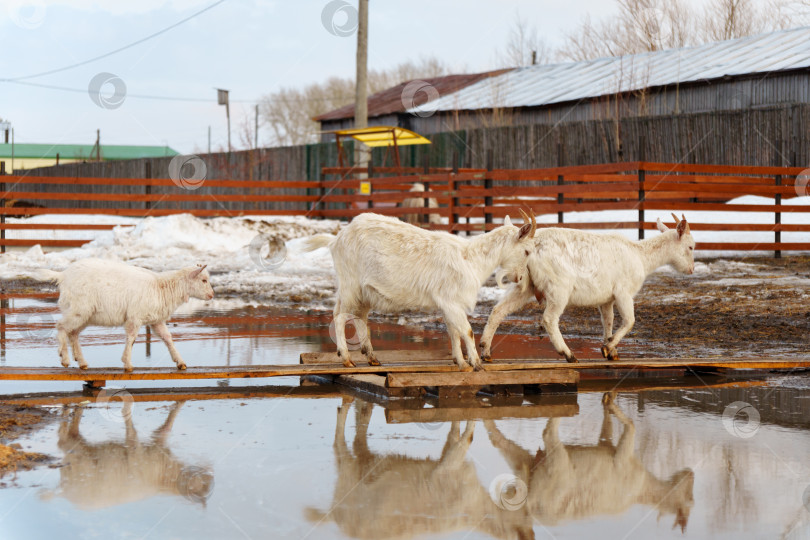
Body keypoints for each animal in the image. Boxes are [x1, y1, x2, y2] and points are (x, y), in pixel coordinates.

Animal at [36, 258, 213, 372]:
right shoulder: (135, 316)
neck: (161, 287)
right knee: (61, 327)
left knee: (73, 333)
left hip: (85, 315)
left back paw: (82, 362)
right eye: (204, 280)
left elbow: (167, 338)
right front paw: (127, 363)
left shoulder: (156, 320)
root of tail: (63, 275)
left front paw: (180, 362)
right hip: (79, 309)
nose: (212, 295)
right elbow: (132, 338)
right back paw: (65, 359)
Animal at [306, 209, 532, 370]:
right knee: (340, 316)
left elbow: (453, 331)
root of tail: (337, 239)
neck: (471, 257)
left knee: (358, 316)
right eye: (527, 251)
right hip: (350, 284)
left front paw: (460, 362)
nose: (520, 278)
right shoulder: (451, 300)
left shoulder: (450, 304)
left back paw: (372, 357)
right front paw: (475, 364)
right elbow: (466, 330)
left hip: (363, 290)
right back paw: (346, 358)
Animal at [480, 214, 696, 362]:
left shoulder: (606, 299)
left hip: (523, 284)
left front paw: (610, 350)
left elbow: (608, 321)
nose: (692, 269)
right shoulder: (623, 292)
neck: (641, 257)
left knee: (498, 310)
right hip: (559, 287)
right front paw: (609, 347)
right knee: (549, 319)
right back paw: (568, 354)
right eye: (691, 247)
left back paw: (485, 350)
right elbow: (630, 320)